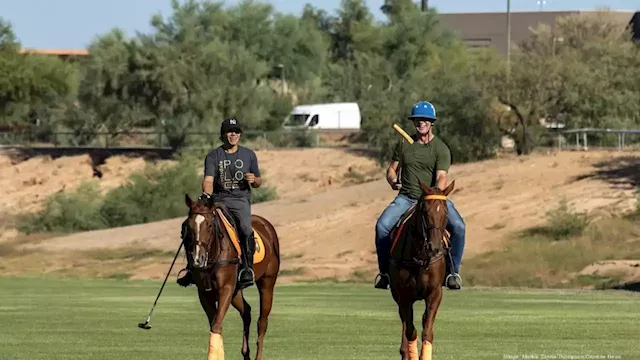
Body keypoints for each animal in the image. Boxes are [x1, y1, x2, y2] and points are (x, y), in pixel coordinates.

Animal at [181, 194, 278, 360]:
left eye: (210, 225)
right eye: (189, 226)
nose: (198, 259)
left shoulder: (225, 288)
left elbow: (216, 325)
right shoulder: (205, 293)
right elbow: (215, 325)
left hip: (267, 282)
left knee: (262, 321)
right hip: (236, 290)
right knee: (247, 311)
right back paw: (246, 353)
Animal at [388, 183, 452, 360]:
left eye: (446, 212)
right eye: (424, 211)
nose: (434, 247)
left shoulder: (435, 293)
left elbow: (427, 332)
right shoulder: (403, 296)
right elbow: (410, 331)